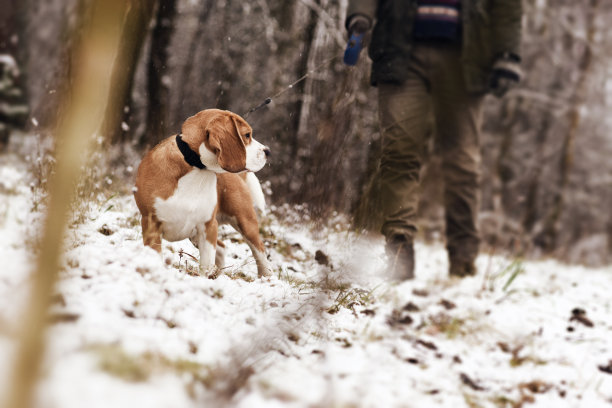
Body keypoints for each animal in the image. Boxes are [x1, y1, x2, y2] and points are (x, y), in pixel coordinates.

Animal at [135, 108, 272, 278]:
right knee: (222, 248)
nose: (268, 151)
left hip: (245, 222)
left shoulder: (208, 226)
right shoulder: (151, 223)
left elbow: (206, 264)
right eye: (247, 135)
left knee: (259, 251)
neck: (196, 167)